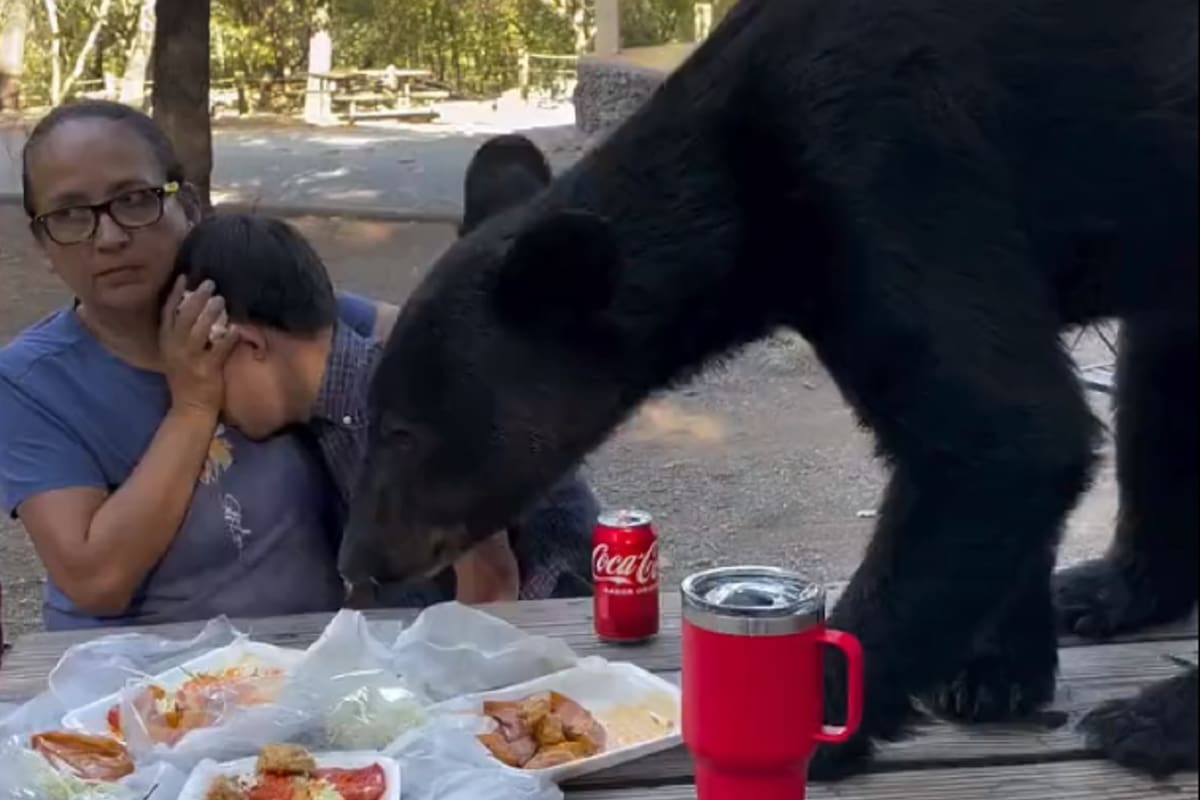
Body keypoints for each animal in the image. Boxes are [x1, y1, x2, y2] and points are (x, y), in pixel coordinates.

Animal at [341, 0, 1198, 779]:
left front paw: (815, 721)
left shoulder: (890, 164)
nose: (359, 562)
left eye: (402, 430)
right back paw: (1114, 590)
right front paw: (993, 671)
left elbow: (1001, 434)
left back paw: (1151, 719)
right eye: (375, 417)